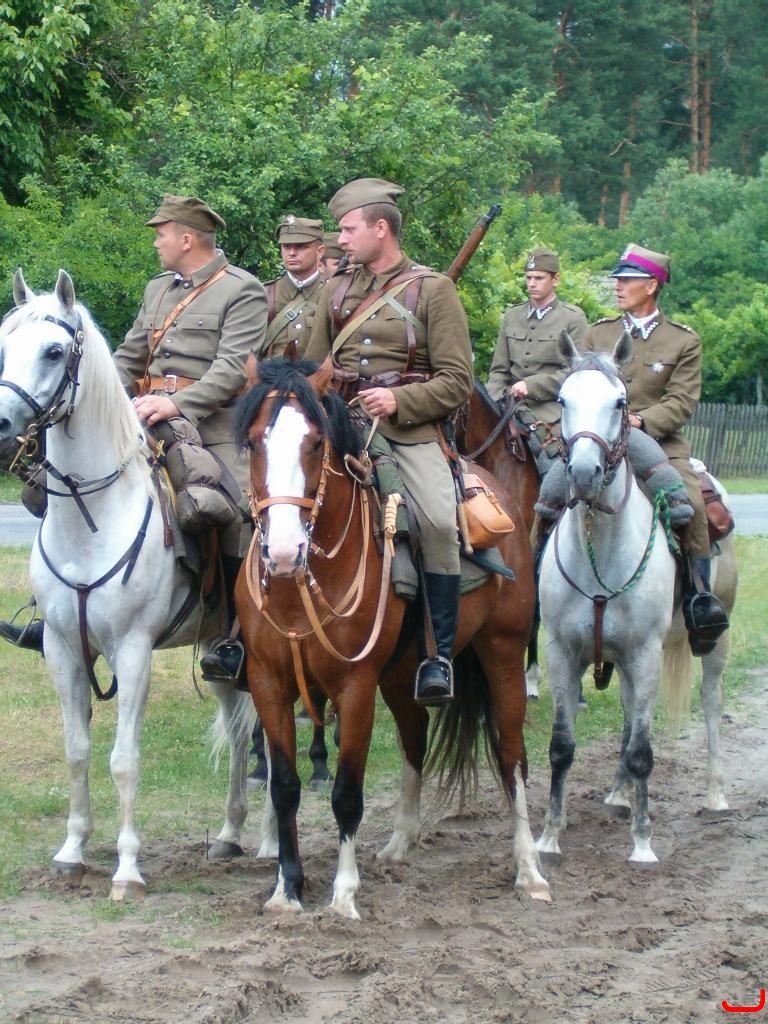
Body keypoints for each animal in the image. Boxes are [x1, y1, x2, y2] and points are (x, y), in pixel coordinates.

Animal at [0, 270, 255, 899]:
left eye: (55, 351)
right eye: (4, 347)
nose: (1, 426)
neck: (92, 518)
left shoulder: (134, 652)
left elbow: (124, 759)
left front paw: (128, 868)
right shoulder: (62, 649)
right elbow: (76, 750)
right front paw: (71, 851)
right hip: (219, 653)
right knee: (242, 734)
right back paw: (230, 834)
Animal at [234, 356, 550, 918]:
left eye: (315, 442)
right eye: (253, 442)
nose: (286, 551)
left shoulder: (355, 687)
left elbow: (346, 793)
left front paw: (343, 895)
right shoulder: (268, 682)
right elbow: (285, 787)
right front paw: (286, 890)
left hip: (504, 652)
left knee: (512, 755)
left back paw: (529, 869)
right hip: (404, 674)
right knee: (415, 737)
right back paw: (401, 841)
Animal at [536, 333, 737, 867]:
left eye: (620, 403)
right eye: (562, 399)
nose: (584, 474)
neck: (600, 548)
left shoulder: (646, 654)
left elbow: (644, 751)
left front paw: (643, 845)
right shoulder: (562, 653)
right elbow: (562, 745)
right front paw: (549, 837)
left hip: (713, 643)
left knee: (711, 704)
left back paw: (715, 795)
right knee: (629, 715)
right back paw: (619, 793)